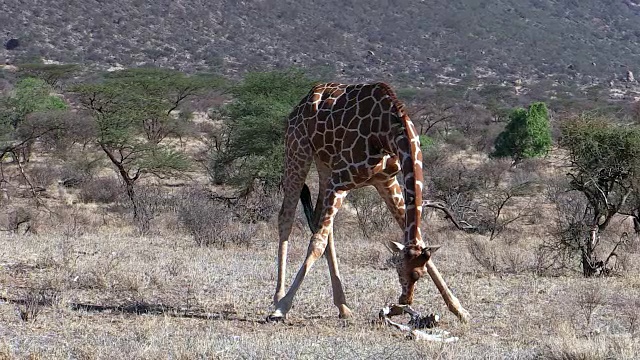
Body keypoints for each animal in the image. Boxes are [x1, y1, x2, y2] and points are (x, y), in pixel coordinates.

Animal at [264, 82, 470, 324]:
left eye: (419, 274)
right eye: (399, 268)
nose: (405, 301)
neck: (387, 132)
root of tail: (302, 103)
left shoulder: (385, 180)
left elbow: (419, 239)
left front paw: (459, 309)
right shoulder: (341, 180)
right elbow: (316, 243)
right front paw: (282, 307)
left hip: (325, 165)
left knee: (319, 221)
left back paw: (343, 306)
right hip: (298, 152)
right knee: (287, 218)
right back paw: (278, 297)